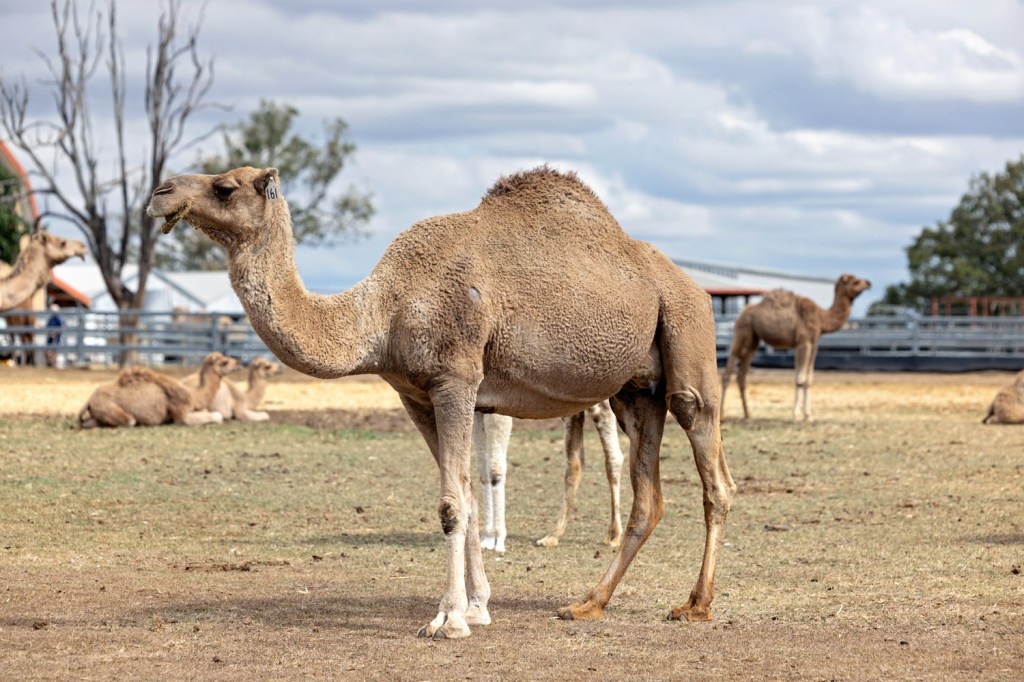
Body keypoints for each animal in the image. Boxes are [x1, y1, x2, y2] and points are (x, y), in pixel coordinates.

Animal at [79, 352, 238, 428]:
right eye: (224, 362)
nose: (238, 363)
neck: (194, 395)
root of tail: (89, 400)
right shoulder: (181, 413)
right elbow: (217, 416)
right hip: (113, 410)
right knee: (130, 421)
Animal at [474, 400, 624, 554]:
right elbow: (483, 470)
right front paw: (486, 539)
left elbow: (494, 469)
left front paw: (497, 539)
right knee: (580, 461)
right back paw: (555, 536)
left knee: (611, 451)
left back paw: (614, 536)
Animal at [721, 273, 871, 421]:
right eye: (856, 282)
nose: (869, 283)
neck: (821, 318)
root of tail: (742, 312)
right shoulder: (803, 342)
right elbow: (800, 378)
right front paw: (797, 415)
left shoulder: (814, 343)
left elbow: (808, 379)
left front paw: (808, 415)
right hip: (742, 331)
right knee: (728, 369)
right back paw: (722, 415)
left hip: (753, 340)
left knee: (742, 375)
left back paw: (748, 414)